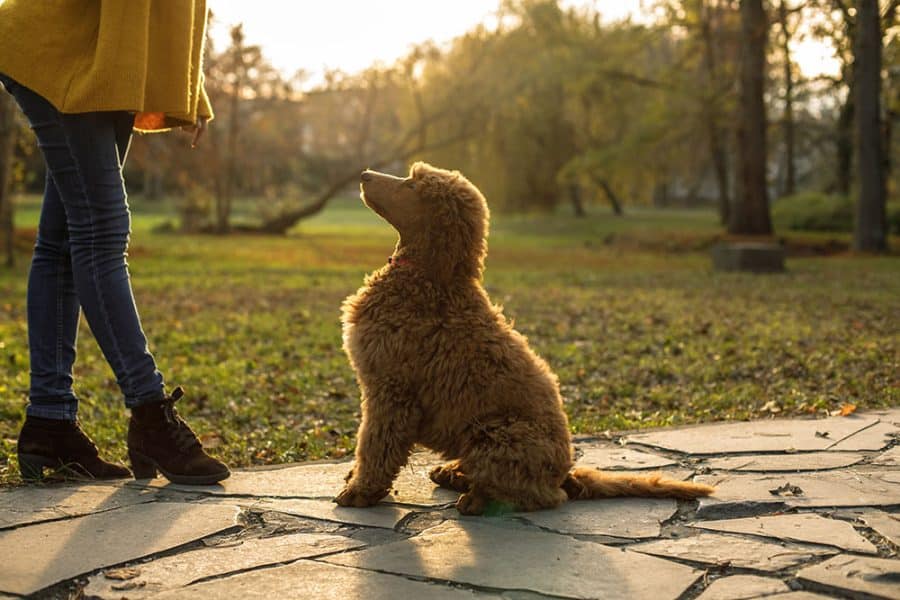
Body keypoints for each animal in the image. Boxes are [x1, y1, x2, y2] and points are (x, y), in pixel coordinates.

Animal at [334, 162, 712, 512]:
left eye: (412, 184)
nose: (364, 175)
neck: (429, 280)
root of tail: (564, 474)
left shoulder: (391, 390)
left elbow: (375, 444)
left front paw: (360, 490)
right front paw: (356, 481)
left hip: (496, 435)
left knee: (539, 496)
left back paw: (476, 497)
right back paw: (455, 473)